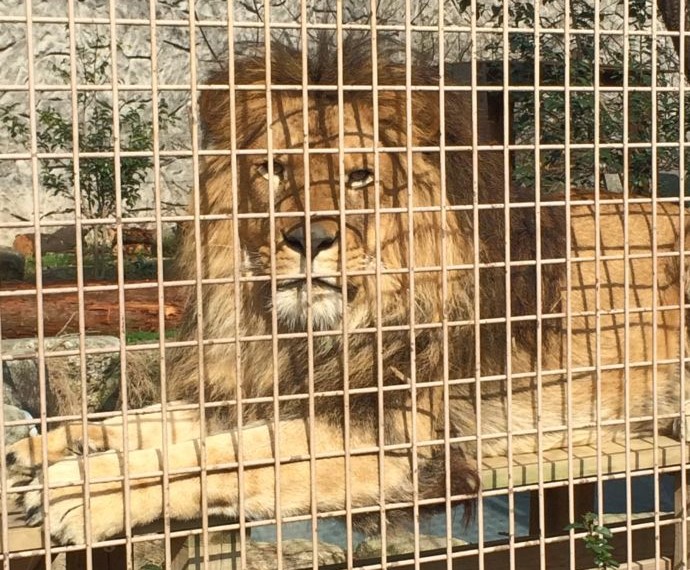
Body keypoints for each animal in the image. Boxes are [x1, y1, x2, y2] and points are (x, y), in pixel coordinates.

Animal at [5, 40, 688, 544]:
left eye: (359, 177)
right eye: (273, 169)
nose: (308, 238)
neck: (308, 332)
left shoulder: (399, 439)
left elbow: (222, 455)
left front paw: (77, 489)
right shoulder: (258, 387)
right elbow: (143, 425)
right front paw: (38, 450)